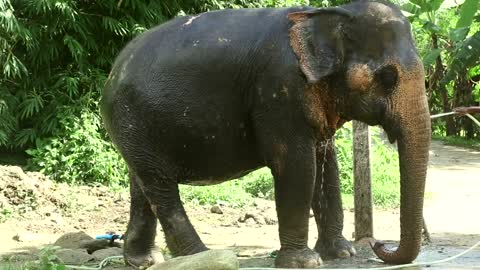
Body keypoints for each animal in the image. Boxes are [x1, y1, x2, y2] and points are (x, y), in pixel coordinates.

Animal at [100, 1, 432, 268]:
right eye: (388, 77)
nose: (378, 244)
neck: (327, 13)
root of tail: (113, 71)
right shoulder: (278, 90)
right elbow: (297, 166)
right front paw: (305, 263)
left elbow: (326, 165)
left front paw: (341, 254)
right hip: (133, 118)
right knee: (161, 187)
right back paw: (200, 256)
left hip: (135, 129)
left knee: (142, 184)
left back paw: (145, 260)